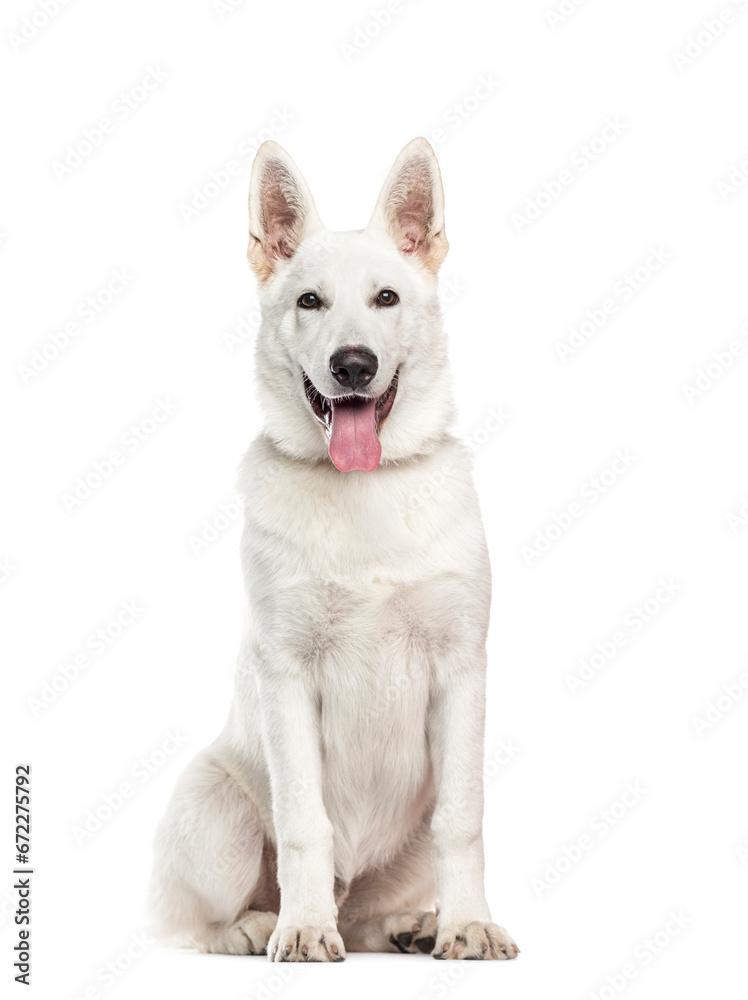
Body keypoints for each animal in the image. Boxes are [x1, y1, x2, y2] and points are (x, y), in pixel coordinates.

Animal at [148, 139, 516, 960]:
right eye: (309, 302)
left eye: (386, 299)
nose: (353, 366)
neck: (363, 489)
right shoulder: (286, 675)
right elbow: (303, 825)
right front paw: (303, 927)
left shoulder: (462, 670)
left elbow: (465, 820)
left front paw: (468, 923)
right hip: (214, 805)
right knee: (190, 925)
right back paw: (261, 925)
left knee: (371, 909)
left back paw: (411, 924)